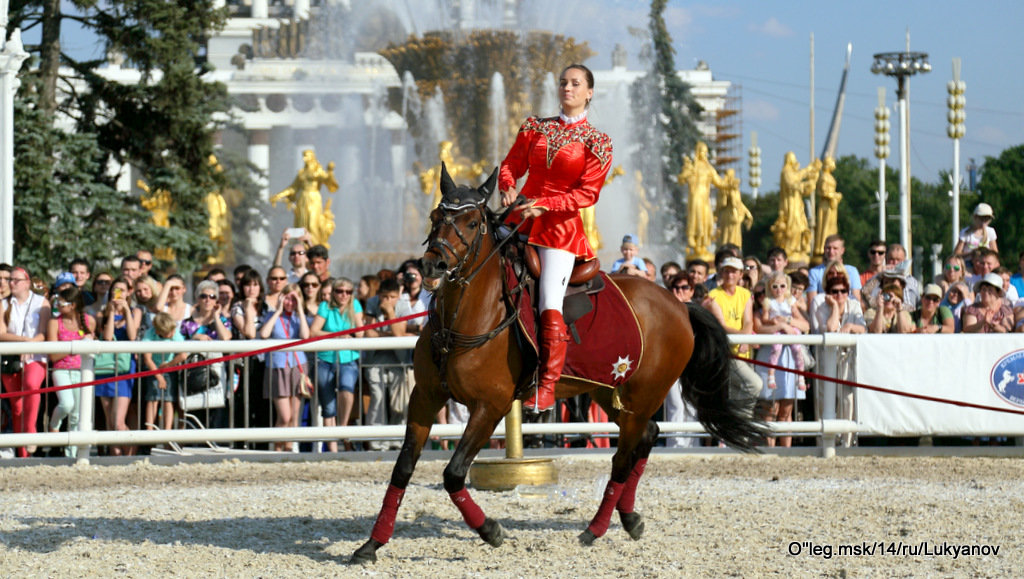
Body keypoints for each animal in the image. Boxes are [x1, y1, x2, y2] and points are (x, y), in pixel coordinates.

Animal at [350, 164, 761, 561]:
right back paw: (629, 518)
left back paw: (595, 529)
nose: (432, 264)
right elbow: (403, 469)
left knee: (622, 458)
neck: (462, 320)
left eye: (471, 221)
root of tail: (679, 304)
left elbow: (453, 474)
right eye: (436, 216)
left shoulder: (491, 406)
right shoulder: (425, 397)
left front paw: (491, 531)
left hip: (644, 394)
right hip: (609, 393)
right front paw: (371, 544)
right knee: (646, 436)